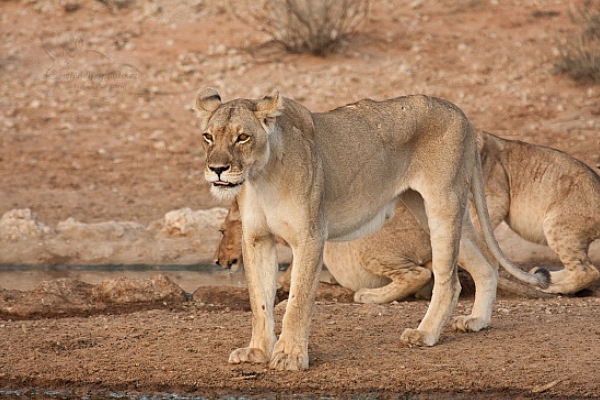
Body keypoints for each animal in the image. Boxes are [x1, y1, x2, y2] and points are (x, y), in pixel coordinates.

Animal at [193, 88, 548, 372]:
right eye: (208, 137)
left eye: (242, 137)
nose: (217, 169)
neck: (261, 176)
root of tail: (461, 114)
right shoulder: (257, 240)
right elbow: (259, 302)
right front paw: (257, 351)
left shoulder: (311, 237)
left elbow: (297, 302)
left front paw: (291, 356)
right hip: (425, 208)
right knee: (485, 263)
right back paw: (477, 321)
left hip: (443, 201)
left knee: (449, 281)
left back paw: (424, 334)